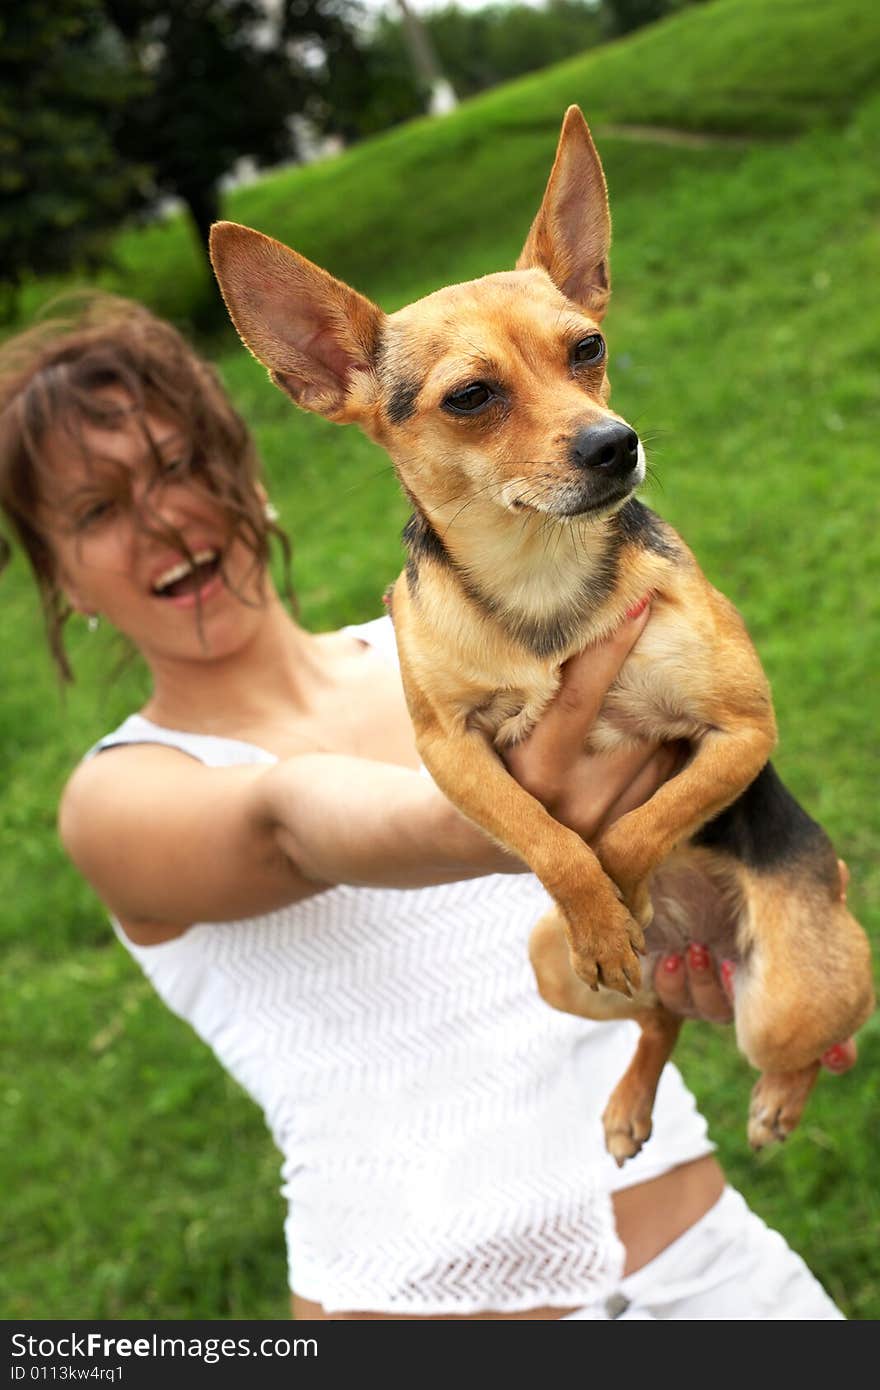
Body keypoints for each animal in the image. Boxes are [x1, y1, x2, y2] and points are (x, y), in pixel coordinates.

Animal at [207, 111, 873, 1162]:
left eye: (589, 348)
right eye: (470, 397)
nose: (616, 442)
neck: (538, 575)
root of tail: (707, 955)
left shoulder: (742, 731)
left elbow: (636, 829)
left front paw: (624, 893)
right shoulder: (450, 750)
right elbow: (551, 840)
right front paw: (602, 914)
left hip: (792, 993)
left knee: (803, 1044)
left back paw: (776, 1098)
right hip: (552, 967)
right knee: (659, 1014)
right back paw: (632, 1092)